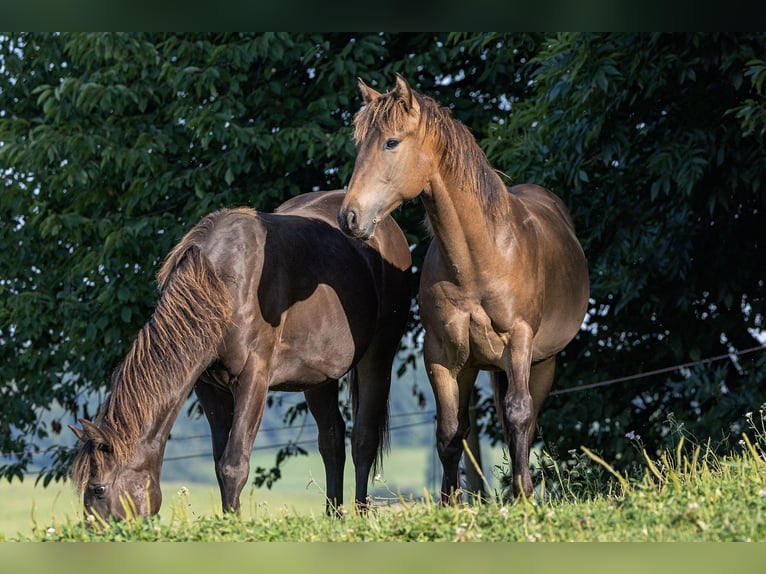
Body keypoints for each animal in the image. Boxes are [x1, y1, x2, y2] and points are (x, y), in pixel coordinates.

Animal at [69, 190, 412, 520]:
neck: (222, 282)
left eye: (98, 488)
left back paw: (361, 516)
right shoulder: (209, 388)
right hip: (318, 377)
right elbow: (220, 463)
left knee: (363, 440)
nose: (92, 531)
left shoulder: (253, 379)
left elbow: (233, 464)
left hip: (378, 355)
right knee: (332, 441)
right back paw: (334, 518)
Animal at [340, 75, 592, 504]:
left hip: (542, 363)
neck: (479, 259)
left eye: (391, 142)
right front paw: (450, 504)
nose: (349, 216)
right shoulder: (443, 355)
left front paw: (523, 496)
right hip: (476, 366)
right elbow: (448, 433)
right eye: (360, 145)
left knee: (525, 420)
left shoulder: (518, 342)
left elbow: (519, 413)